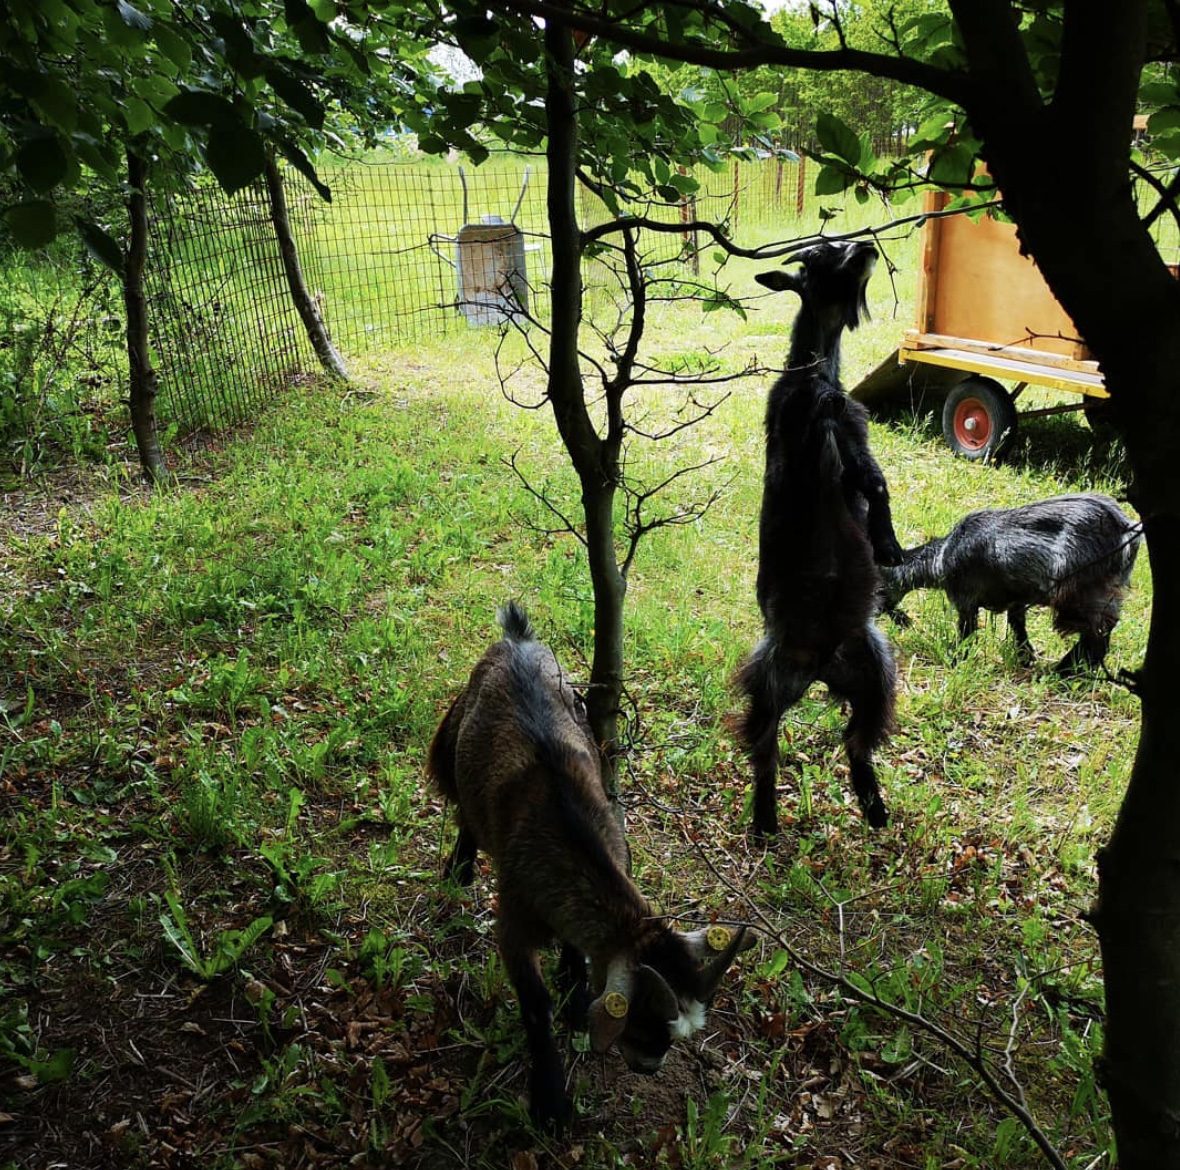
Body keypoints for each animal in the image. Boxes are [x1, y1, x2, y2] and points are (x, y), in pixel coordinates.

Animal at [427, 599, 755, 1127]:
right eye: (642, 1024)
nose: (649, 1066)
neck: (567, 833)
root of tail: (516, 638)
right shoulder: (514, 923)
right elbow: (534, 1004)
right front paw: (550, 1102)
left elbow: (575, 950)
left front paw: (576, 993)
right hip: (453, 735)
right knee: (463, 810)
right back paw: (458, 869)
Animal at [736, 241, 901, 835]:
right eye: (819, 254)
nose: (867, 248)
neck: (817, 372)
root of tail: (821, 666)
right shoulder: (811, 425)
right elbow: (867, 479)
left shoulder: (852, 431)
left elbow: (875, 485)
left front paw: (888, 547)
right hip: (767, 679)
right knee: (764, 748)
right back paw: (765, 818)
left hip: (876, 672)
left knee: (857, 742)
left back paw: (873, 806)